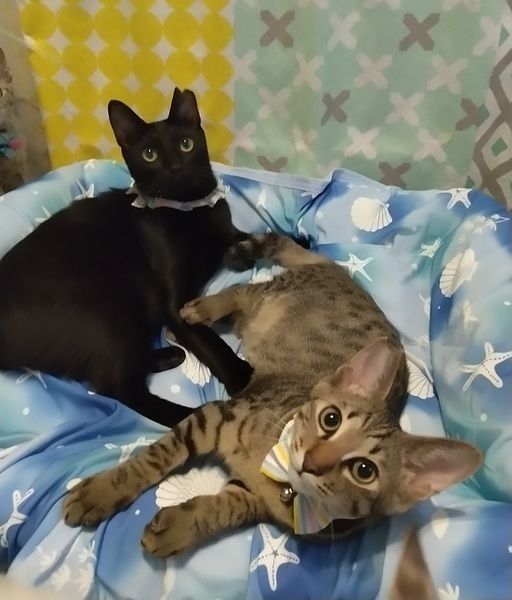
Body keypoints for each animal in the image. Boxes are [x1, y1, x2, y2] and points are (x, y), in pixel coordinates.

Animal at [0, 87, 253, 427]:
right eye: (150, 154)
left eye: (186, 144)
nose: (175, 167)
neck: (188, 211)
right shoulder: (175, 304)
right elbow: (210, 341)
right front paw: (242, 377)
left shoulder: (229, 232)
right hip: (107, 310)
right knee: (115, 384)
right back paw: (191, 415)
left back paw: (168, 355)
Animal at [63, 233, 482, 558]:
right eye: (330, 419)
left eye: (364, 471)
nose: (312, 462)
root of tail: (340, 273)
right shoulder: (214, 414)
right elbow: (153, 459)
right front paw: (101, 493)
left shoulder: (251, 496)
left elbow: (220, 510)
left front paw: (180, 528)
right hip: (272, 295)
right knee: (244, 291)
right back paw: (201, 307)